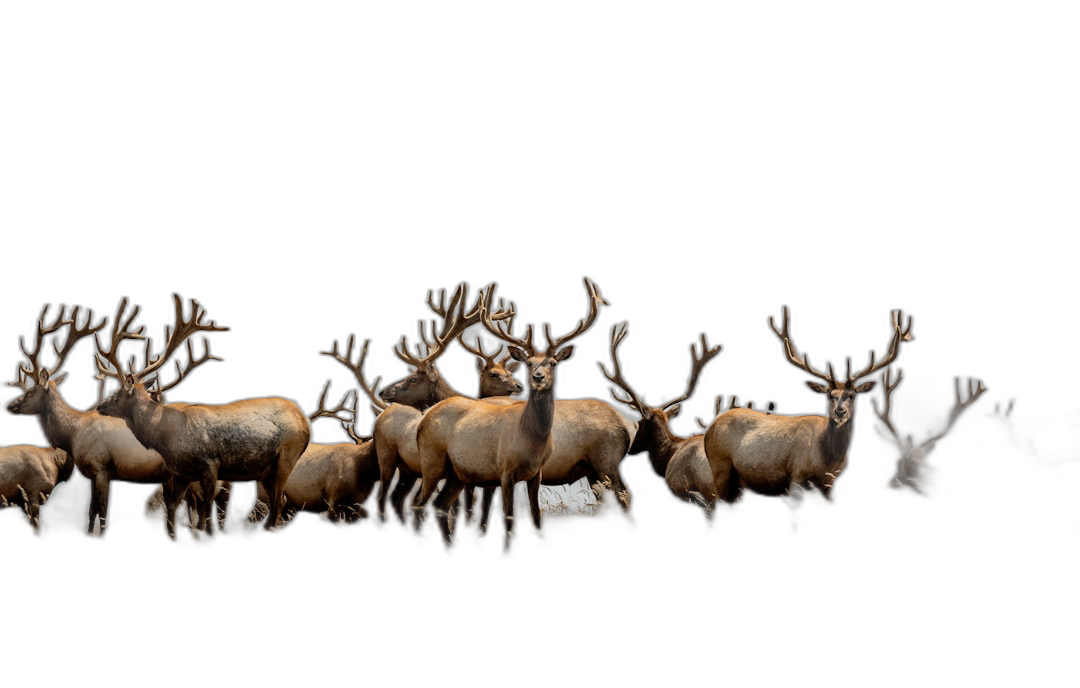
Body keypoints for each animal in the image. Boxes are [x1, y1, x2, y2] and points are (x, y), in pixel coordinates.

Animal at [5, 302, 177, 533]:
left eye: (31, 391)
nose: (10, 405)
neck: (73, 433)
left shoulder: (102, 468)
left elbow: (102, 511)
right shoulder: (93, 475)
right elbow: (92, 511)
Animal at [93, 293, 315, 531]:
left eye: (117, 393)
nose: (100, 406)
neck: (167, 436)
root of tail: (304, 420)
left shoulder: (210, 463)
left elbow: (206, 510)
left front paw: (206, 532)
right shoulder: (181, 473)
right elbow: (173, 508)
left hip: (287, 455)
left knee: (278, 500)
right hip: (267, 469)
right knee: (278, 501)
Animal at [699, 302, 911, 501]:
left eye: (852, 395)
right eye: (829, 395)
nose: (840, 412)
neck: (827, 459)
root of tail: (710, 428)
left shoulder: (830, 484)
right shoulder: (796, 477)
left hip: (737, 483)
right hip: (720, 466)